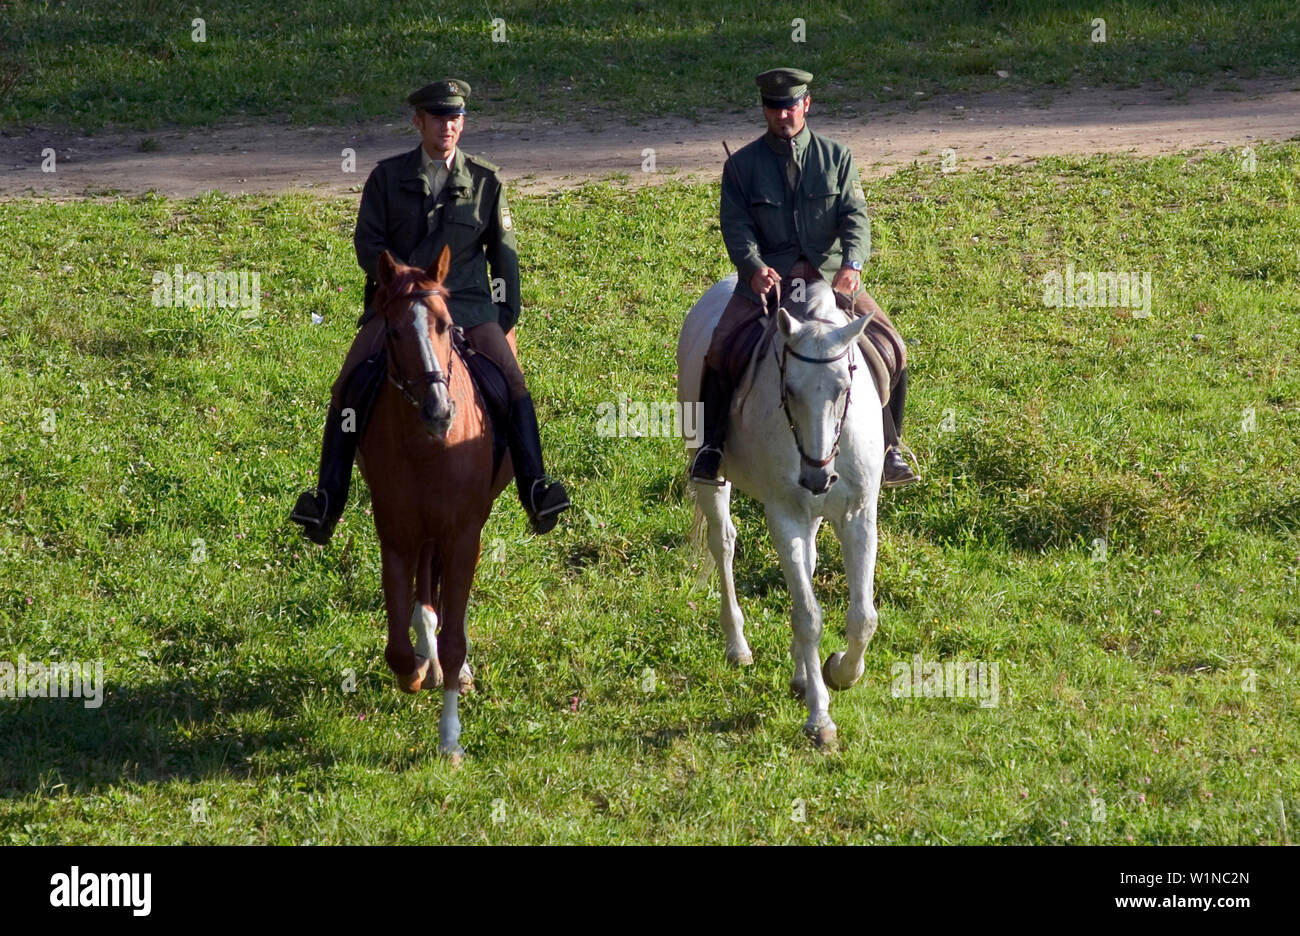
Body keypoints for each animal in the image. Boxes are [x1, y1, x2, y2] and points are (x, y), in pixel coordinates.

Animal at [361, 246, 517, 759]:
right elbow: (396, 647)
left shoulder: (464, 533)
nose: (438, 411)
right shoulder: (396, 533)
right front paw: (414, 672)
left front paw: (450, 739)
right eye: (393, 331)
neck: (427, 447)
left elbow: (453, 642)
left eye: (446, 325)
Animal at [681, 274, 883, 748]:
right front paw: (820, 719)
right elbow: (808, 616)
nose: (816, 477)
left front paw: (838, 671)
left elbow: (863, 617)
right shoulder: (786, 516)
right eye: (788, 389)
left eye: (845, 387)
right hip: (711, 475)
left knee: (807, 565)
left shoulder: (858, 515)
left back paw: (801, 674)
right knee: (723, 545)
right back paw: (738, 648)